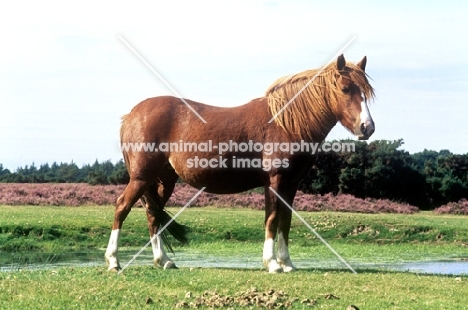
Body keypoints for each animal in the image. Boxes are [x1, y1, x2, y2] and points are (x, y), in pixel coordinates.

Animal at [104, 54, 374, 272]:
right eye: (345, 88)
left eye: (366, 91)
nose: (367, 127)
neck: (286, 122)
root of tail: (131, 115)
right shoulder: (275, 180)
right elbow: (273, 218)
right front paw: (272, 263)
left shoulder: (290, 184)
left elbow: (284, 220)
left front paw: (287, 263)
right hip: (142, 177)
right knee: (122, 207)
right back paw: (114, 261)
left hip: (164, 180)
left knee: (153, 214)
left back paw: (163, 261)